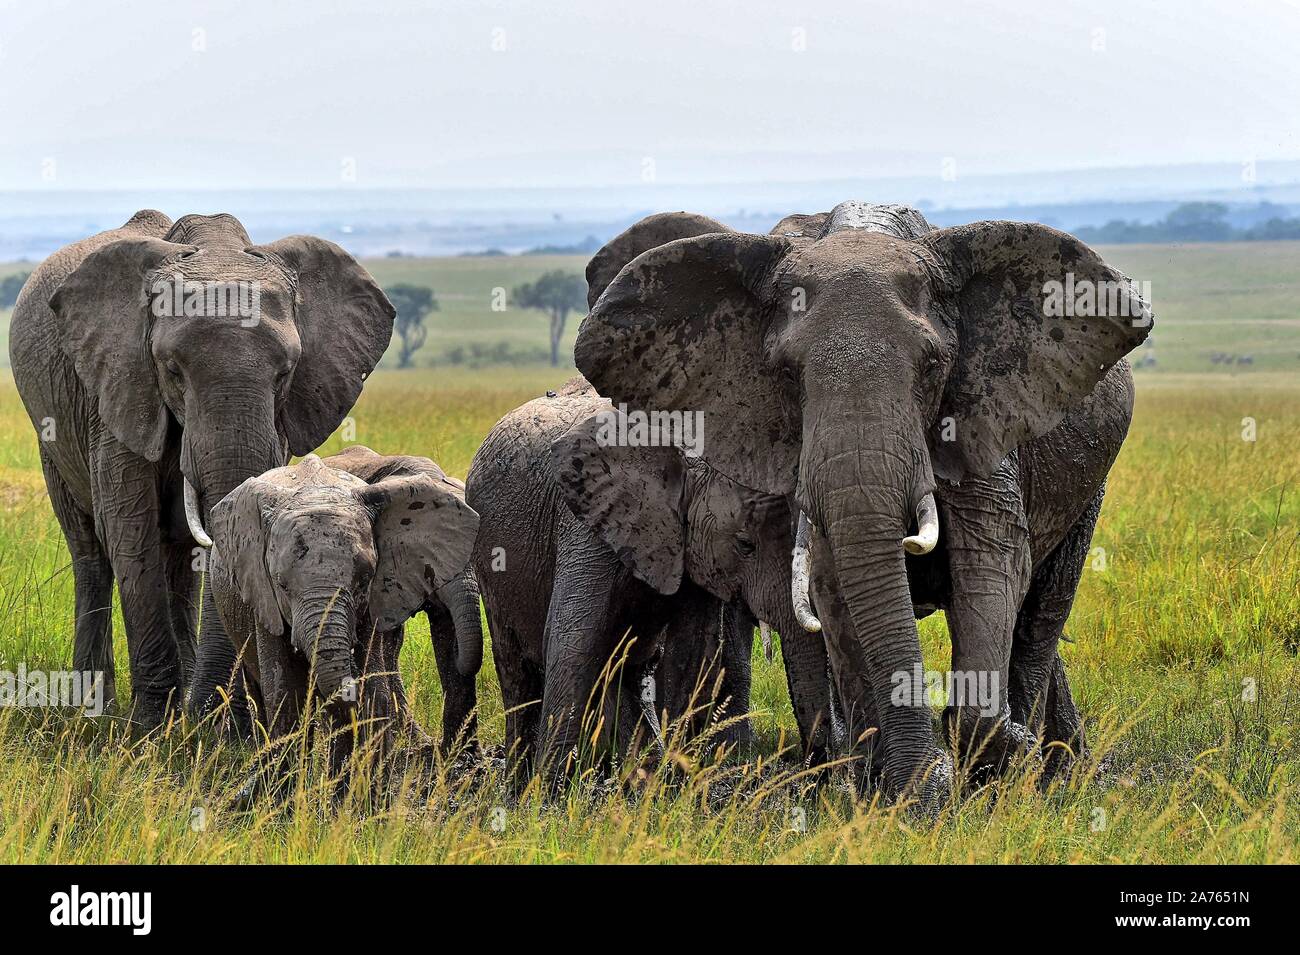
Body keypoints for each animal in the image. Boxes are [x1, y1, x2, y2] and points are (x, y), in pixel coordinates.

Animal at [7, 209, 392, 727]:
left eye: (286, 373)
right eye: (171, 370)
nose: (213, 715)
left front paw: (218, 726)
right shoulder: (118, 391)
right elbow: (129, 529)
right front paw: (152, 728)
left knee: (180, 557)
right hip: (51, 432)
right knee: (90, 550)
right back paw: (97, 712)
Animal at [209, 452, 483, 795]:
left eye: (363, 580)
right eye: (281, 584)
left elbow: (376, 686)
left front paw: (358, 798)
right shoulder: (262, 594)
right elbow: (285, 692)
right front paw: (283, 799)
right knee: (260, 690)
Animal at [467, 376, 832, 789]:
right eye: (745, 544)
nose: (818, 772)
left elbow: (691, 650)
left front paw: (673, 785)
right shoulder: (587, 523)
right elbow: (574, 640)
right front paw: (550, 791)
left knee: (631, 665)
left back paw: (637, 772)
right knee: (517, 669)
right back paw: (519, 784)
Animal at [574, 200, 1154, 805]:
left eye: (932, 366)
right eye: (785, 373)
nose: (932, 778)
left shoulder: (977, 412)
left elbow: (992, 558)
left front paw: (993, 756)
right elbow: (834, 584)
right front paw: (898, 792)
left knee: (1042, 606)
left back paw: (1049, 773)